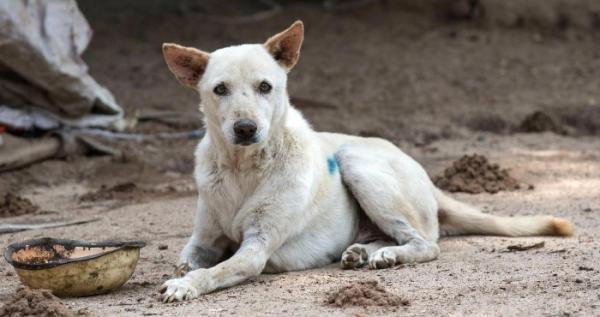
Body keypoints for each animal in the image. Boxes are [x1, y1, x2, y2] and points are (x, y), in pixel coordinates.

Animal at [158, 20, 572, 302]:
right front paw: (180, 273)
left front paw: (184, 285)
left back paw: (386, 254)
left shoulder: (256, 249)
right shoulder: (203, 241)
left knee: (426, 244)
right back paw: (364, 252)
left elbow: (214, 271)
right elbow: (190, 260)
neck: (242, 168)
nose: (245, 129)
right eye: (220, 89)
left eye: (265, 87)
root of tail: (428, 178)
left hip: (356, 162)